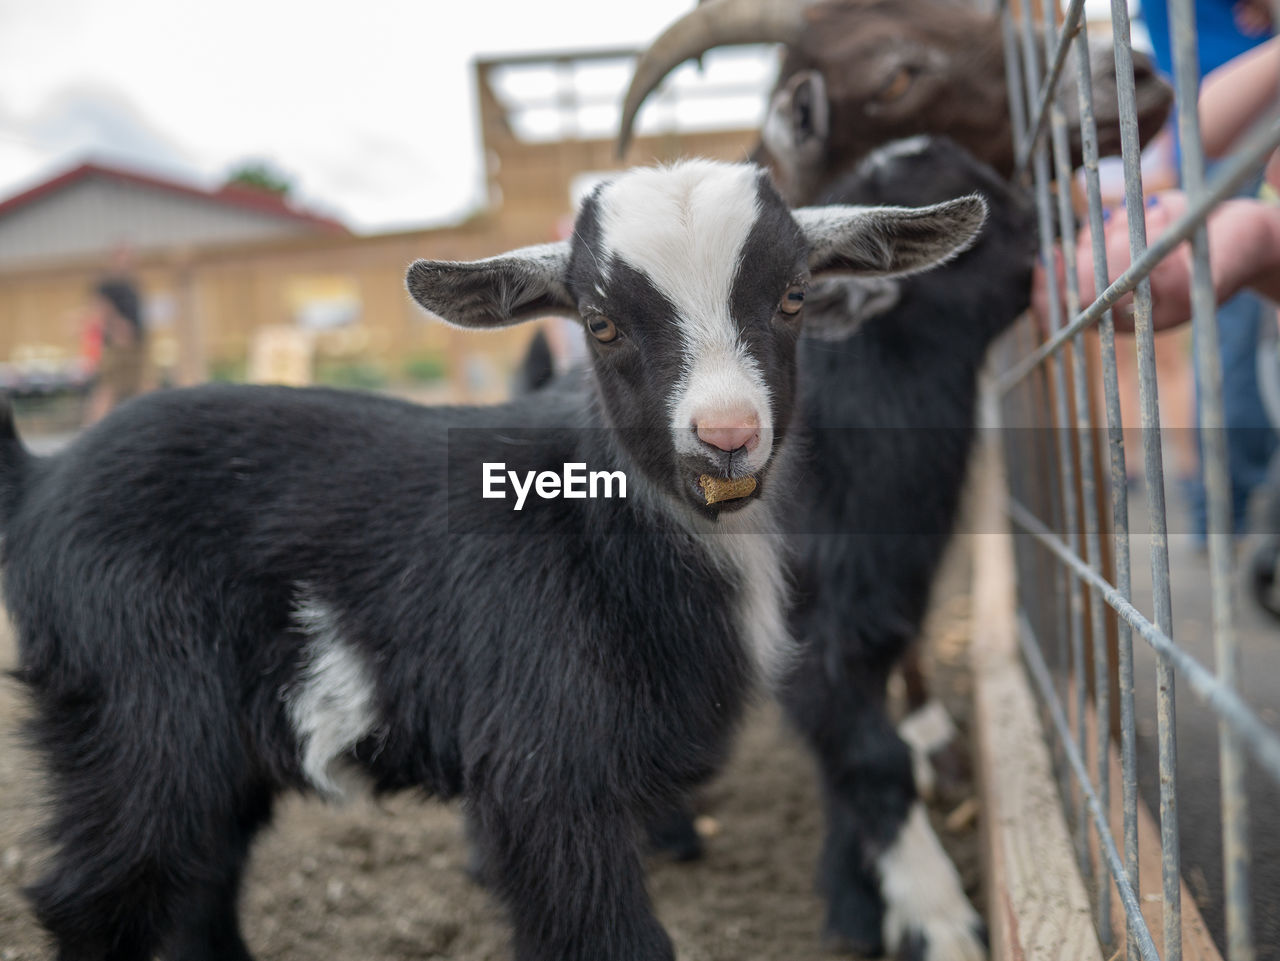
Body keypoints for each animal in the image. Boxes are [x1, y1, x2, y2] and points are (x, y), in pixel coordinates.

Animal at [7, 161, 977, 961]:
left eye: (794, 297)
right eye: (601, 323)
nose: (727, 436)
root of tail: (40, 479)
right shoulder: (540, 772)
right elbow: (606, 937)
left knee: (200, 880)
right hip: (137, 706)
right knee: (95, 895)